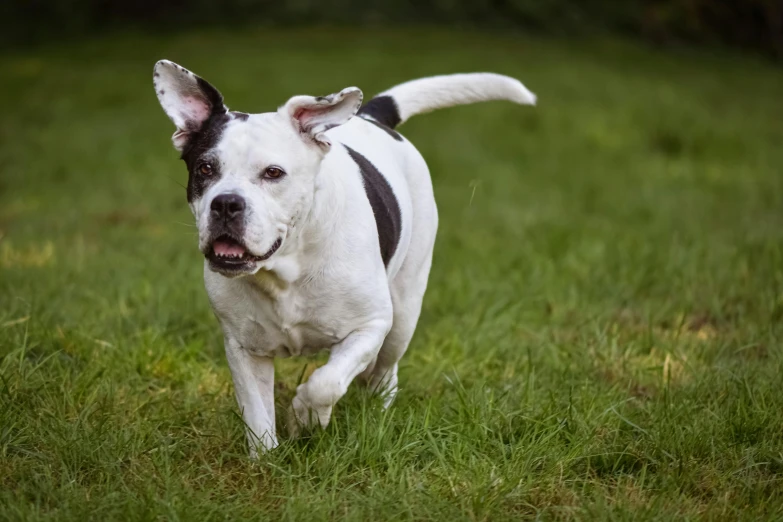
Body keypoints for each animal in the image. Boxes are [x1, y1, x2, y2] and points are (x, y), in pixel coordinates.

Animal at [152, 59, 532, 452]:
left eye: (273, 173)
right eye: (205, 168)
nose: (226, 203)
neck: (286, 269)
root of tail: (370, 116)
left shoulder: (370, 325)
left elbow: (325, 383)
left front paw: (306, 416)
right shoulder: (244, 348)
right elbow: (258, 417)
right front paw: (266, 459)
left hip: (404, 313)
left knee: (384, 370)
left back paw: (376, 406)